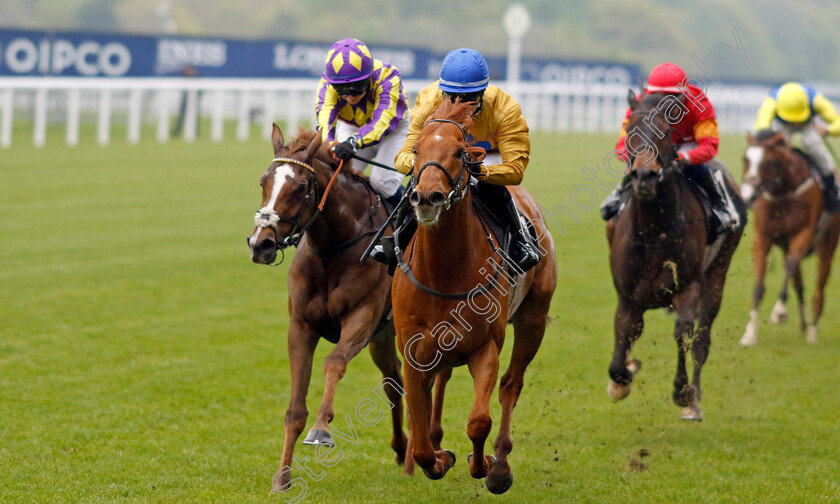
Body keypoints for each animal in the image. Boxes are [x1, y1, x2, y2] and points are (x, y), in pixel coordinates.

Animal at [246, 125, 406, 488]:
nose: (261, 244)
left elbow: (334, 362)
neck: (334, 247)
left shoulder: (361, 318)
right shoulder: (301, 327)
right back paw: (405, 451)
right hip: (383, 338)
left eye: (301, 187)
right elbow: (295, 409)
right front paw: (282, 478)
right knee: (395, 381)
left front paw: (321, 429)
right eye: (263, 181)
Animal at [392, 100, 556, 494]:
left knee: (511, 384)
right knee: (441, 381)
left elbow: (479, 421)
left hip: (534, 318)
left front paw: (486, 466)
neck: (444, 271)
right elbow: (420, 441)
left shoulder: (485, 348)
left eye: (460, 153)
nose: (427, 197)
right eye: (416, 150)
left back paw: (501, 463)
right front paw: (437, 458)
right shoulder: (413, 352)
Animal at [608, 91, 744, 422]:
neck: (654, 232)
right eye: (629, 129)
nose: (644, 175)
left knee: (702, 338)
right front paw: (622, 379)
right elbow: (622, 344)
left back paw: (694, 403)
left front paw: (682, 391)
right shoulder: (628, 297)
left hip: (717, 272)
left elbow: (684, 333)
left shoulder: (687, 286)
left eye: (666, 132)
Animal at [736, 130, 840, 344]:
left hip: (828, 244)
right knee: (799, 284)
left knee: (819, 290)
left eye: (769, 162)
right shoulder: (763, 238)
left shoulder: (802, 235)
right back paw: (804, 324)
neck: (783, 194)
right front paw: (749, 334)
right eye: (745, 159)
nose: (747, 196)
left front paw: (779, 312)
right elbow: (759, 287)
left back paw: (812, 331)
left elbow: (790, 266)